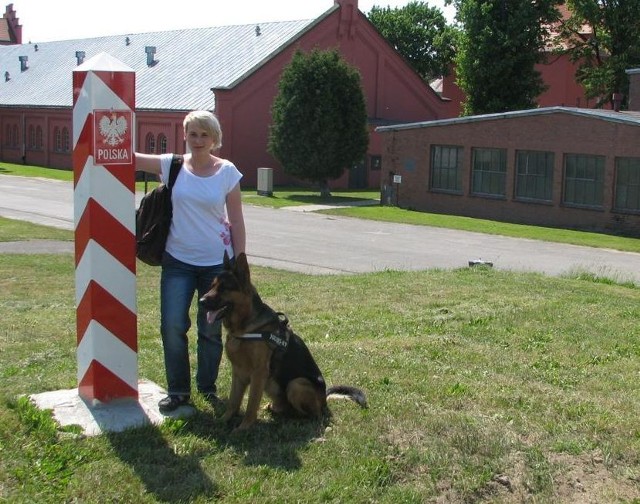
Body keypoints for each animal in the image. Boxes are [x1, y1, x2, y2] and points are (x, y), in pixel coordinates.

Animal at [200, 254, 370, 432]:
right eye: (212, 286)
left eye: (224, 288)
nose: (201, 301)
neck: (243, 328)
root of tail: (324, 399)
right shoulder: (238, 372)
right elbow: (233, 402)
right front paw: (222, 421)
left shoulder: (258, 373)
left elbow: (251, 405)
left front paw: (243, 428)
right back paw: (274, 409)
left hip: (296, 384)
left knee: (312, 414)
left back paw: (295, 419)